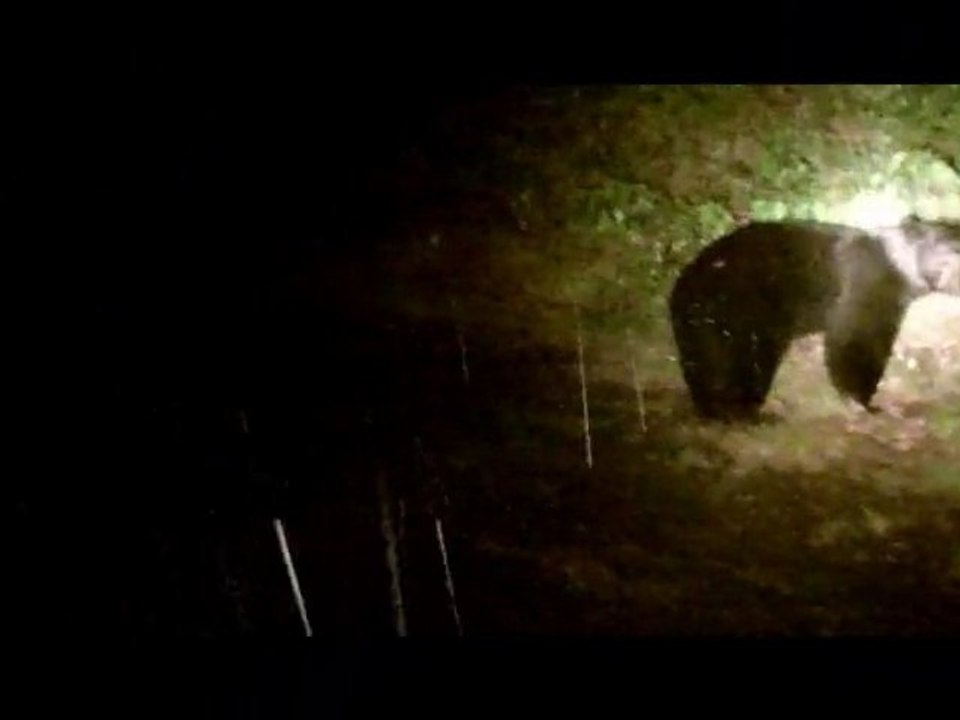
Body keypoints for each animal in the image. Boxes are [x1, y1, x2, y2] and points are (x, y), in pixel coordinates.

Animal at [668, 217, 960, 421]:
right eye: (952, 248)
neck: (902, 271)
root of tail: (683, 284)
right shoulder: (865, 284)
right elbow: (852, 341)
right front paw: (863, 401)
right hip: (739, 306)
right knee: (741, 358)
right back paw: (744, 410)